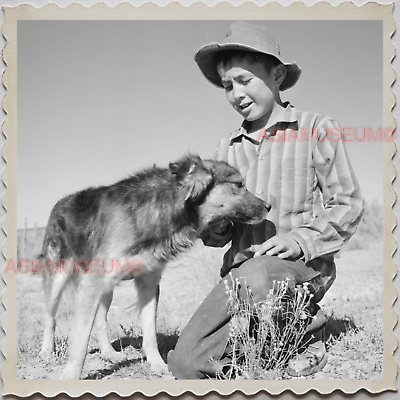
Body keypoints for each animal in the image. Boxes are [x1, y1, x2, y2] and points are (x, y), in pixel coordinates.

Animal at [38, 155, 268, 378]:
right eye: (239, 184)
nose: (268, 206)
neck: (160, 209)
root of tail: (61, 202)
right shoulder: (93, 282)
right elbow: (80, 338)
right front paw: (70, 375)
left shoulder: (148, 281)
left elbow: (149, 332)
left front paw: (157, 365)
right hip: (58, 277)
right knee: (50, 317)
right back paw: (47, 351)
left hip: (106, 289)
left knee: (101, 321)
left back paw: (109, 353)